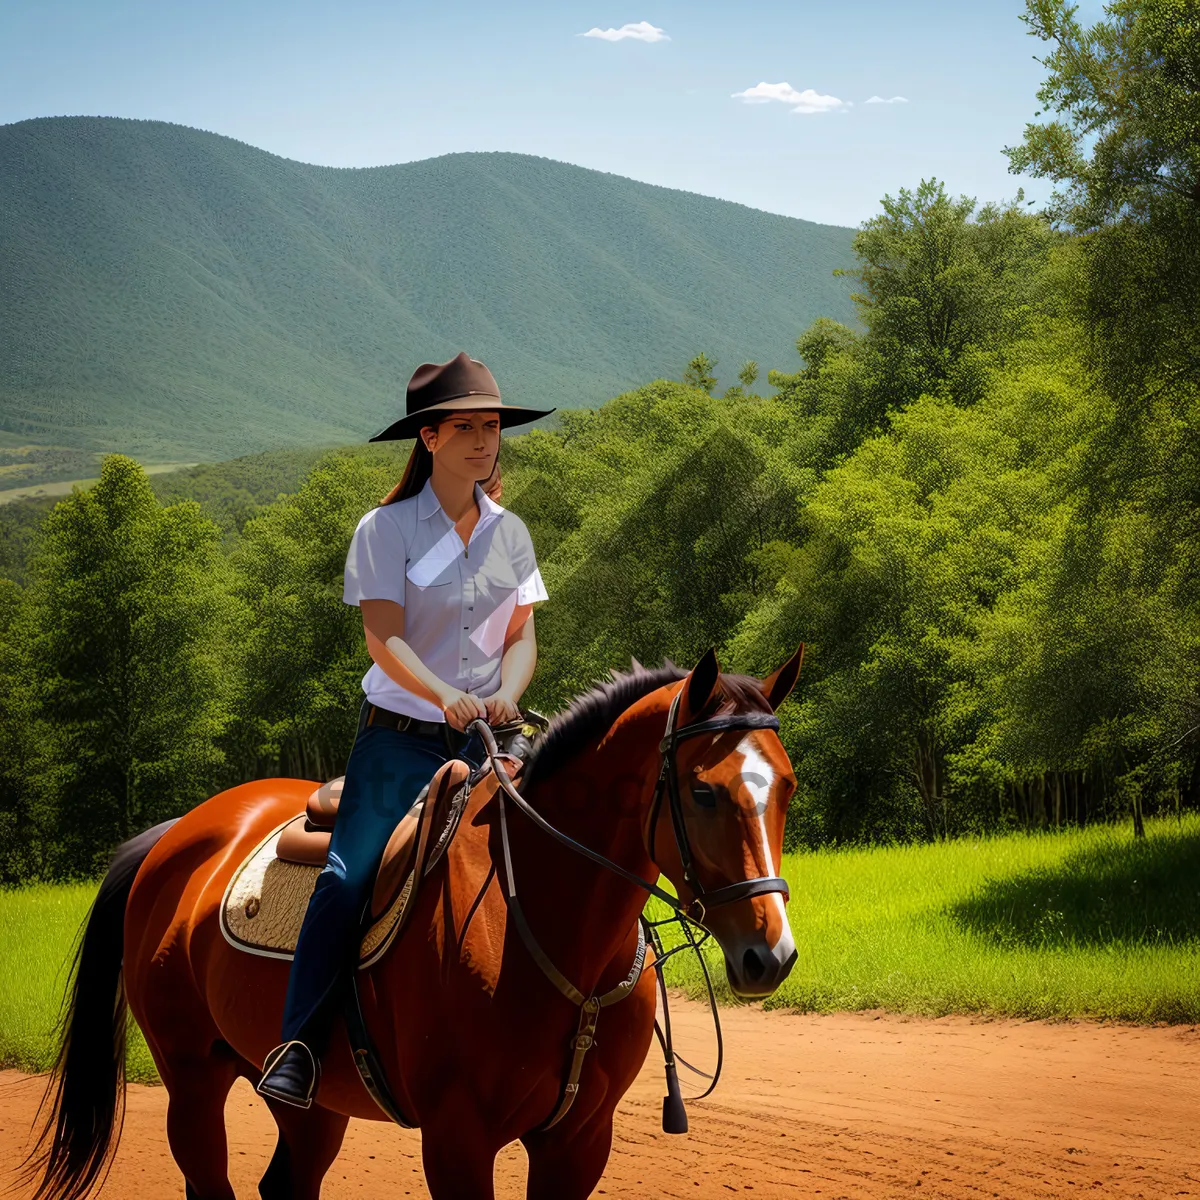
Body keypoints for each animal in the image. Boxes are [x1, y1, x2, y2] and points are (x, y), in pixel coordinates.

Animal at [23, 648, 801, 1200]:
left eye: (788, 787)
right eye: (702, 791)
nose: (771, 954)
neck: (547, 929)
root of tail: (176, 836)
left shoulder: (580, 1141)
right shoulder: (458, 1139)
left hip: (309, 1105)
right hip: (190, 1080)